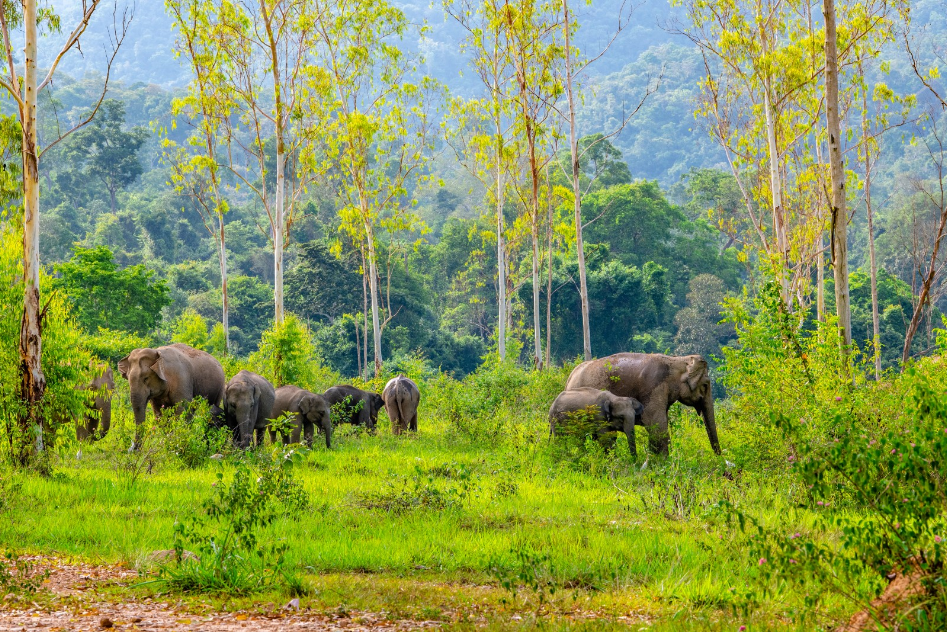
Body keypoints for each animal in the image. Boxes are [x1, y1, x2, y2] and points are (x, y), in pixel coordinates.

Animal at [568, 354, 724, 456]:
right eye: (705, 385)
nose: (719, 457)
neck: (676, 360)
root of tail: (570, 378)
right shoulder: (654, 389)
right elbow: (656, 424)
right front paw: (663, 463)